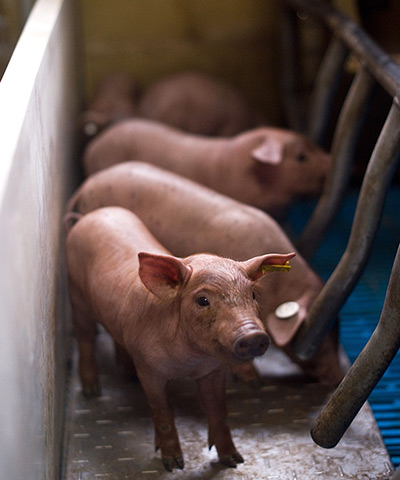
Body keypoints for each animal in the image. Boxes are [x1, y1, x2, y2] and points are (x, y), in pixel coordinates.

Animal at [64, 205, 292, 468]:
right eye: (202, 300)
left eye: (253, 294)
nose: (253, 335)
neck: (189, 361)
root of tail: (90, 216)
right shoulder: (149, 370)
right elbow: (162, 412)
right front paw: (173, 464)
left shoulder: (214, 370)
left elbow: (218, 410)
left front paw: (233, 460)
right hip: (76, 294)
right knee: (86, 338)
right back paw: (92, 391)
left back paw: (127, 373)